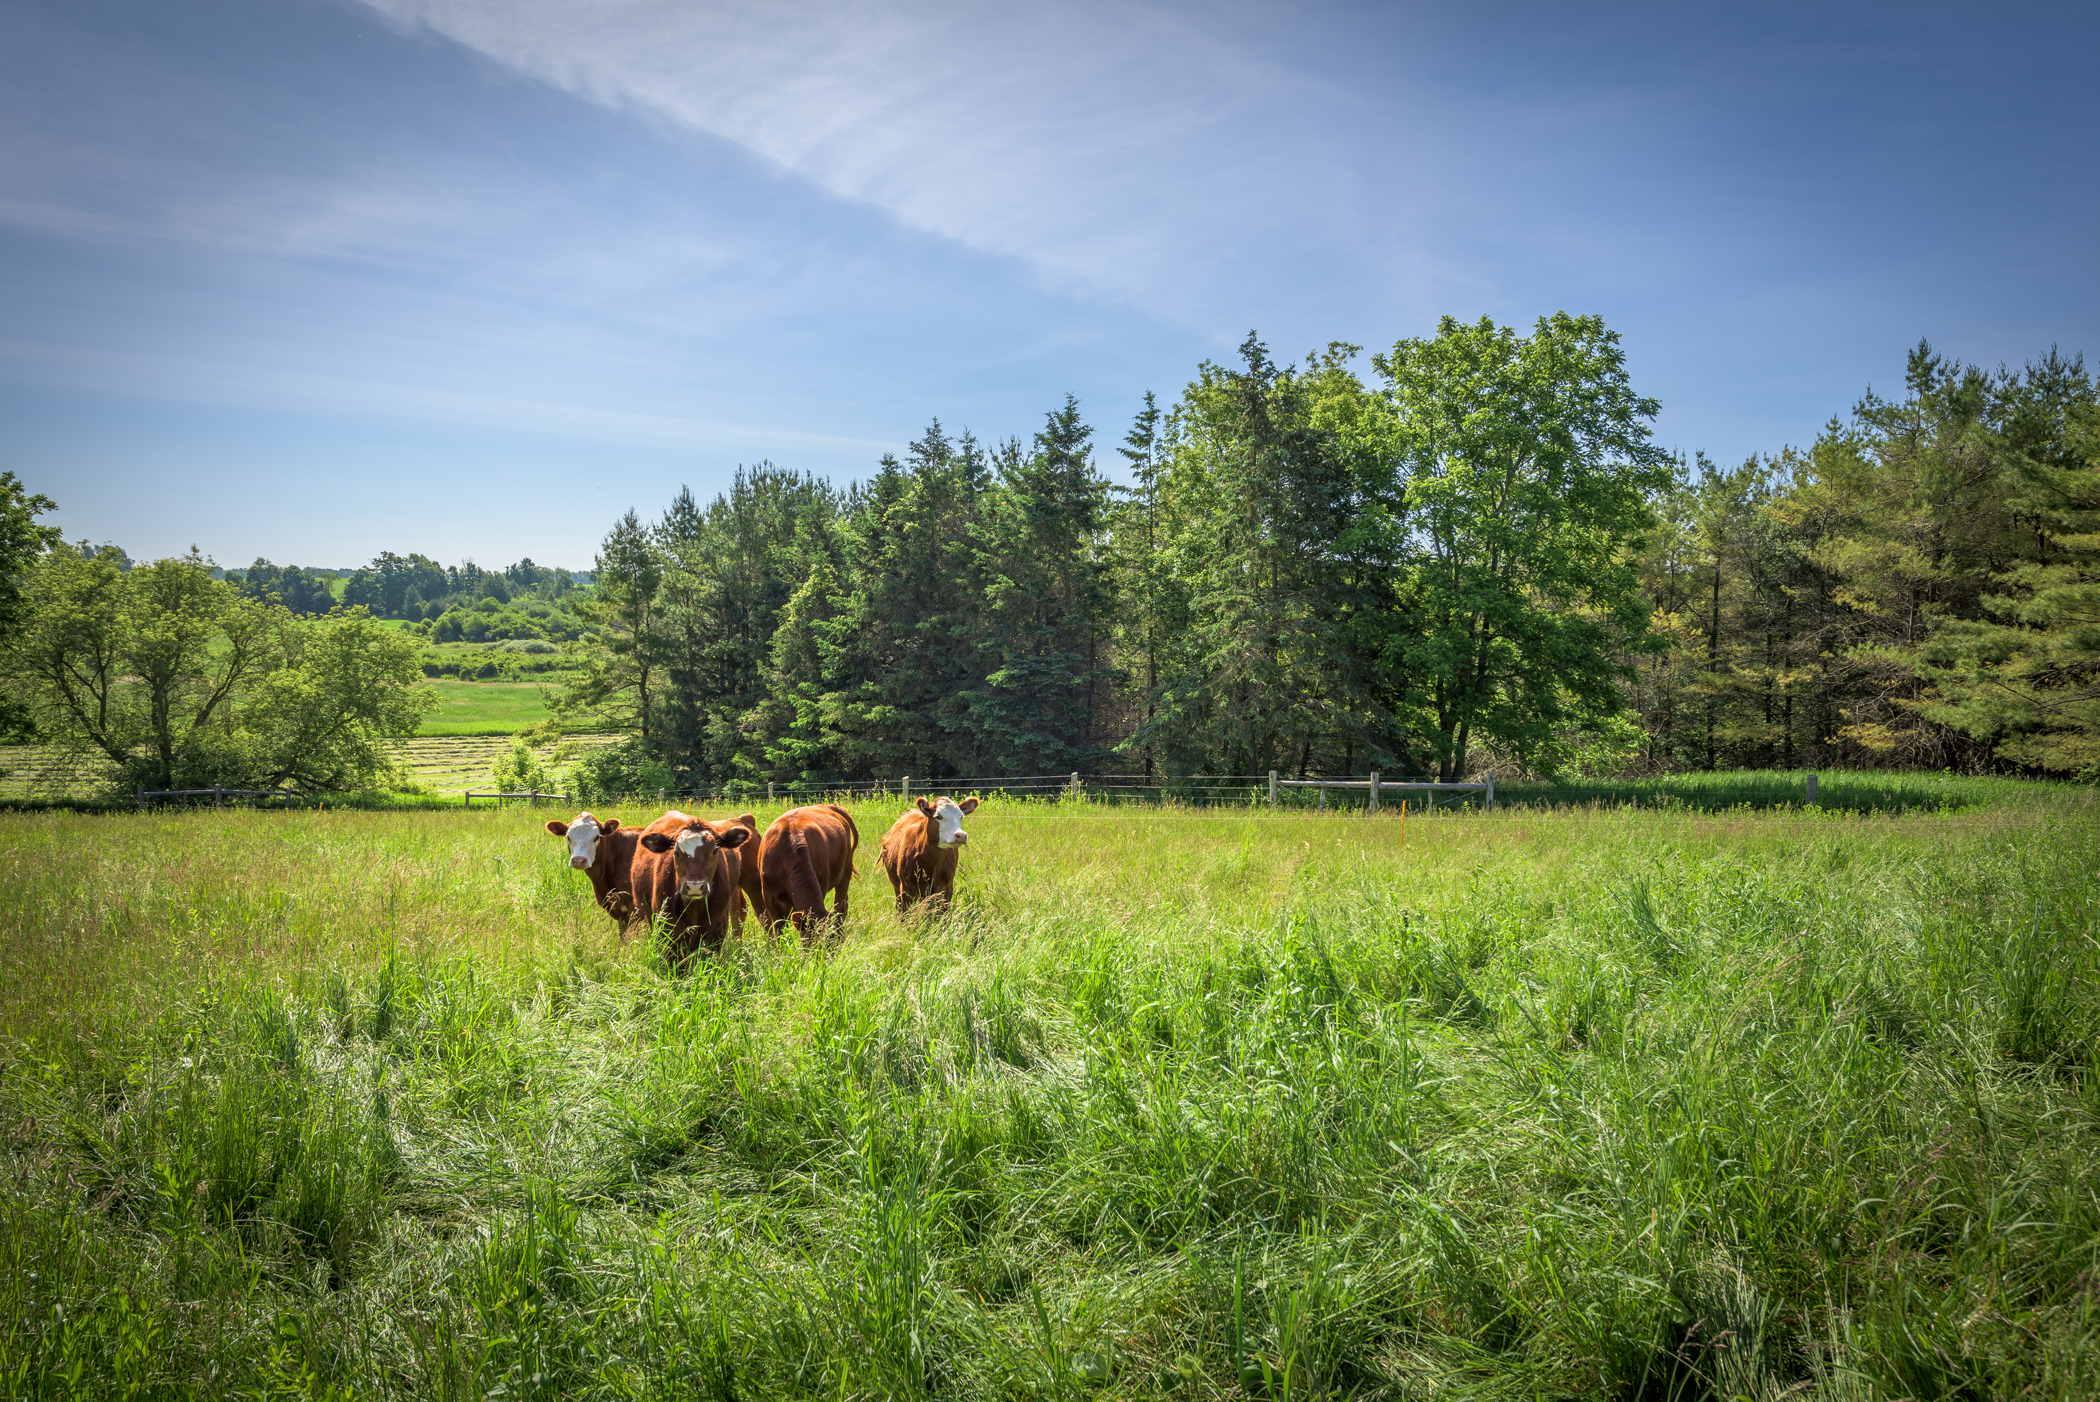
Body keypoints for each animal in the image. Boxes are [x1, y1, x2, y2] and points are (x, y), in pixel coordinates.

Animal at [760, 805, 856, 948]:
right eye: (814, 944)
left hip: (845, 871)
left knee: (841, 901)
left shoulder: (822, 886)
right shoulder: (768, 896)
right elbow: (779, 929)